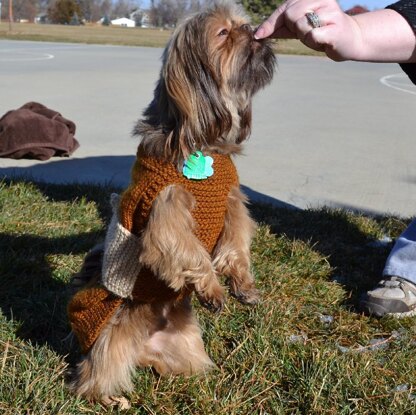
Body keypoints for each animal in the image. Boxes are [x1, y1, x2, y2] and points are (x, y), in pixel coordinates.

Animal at [67, 0, 276, 406]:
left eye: (243, 24)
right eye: (224, 33)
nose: (256, 31)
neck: (201, 142)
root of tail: (144, 348)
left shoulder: (232, 201)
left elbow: (237, 243)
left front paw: (242, 284)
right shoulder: (165, 211)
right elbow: (189, 251)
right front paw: (212, 287)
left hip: (185, 343)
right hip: (110, 336)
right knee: (95, 373)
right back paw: (108, 396)